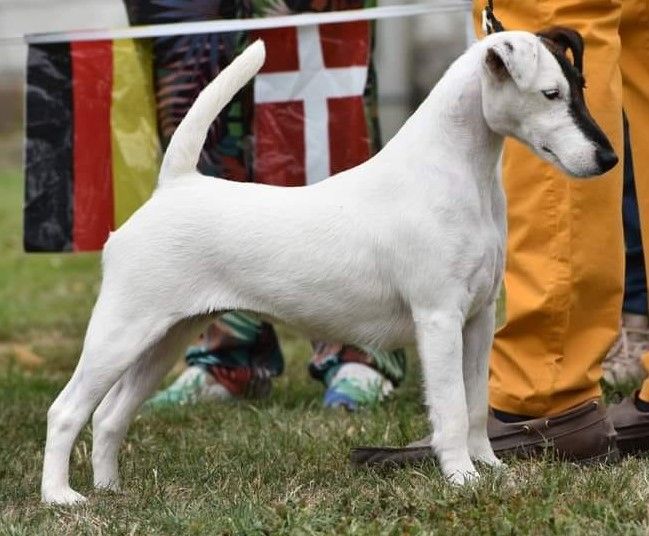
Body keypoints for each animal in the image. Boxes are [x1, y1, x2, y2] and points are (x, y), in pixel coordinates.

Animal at [40, 27, 616, 504]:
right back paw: (62, 498)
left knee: (110, 415)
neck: (458, 173)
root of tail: (173, 187)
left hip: (166, 338)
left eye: (580, 85)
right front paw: (461, 479)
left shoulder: (477, 320)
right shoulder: (439, 319)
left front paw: (490, 469)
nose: (607, 160)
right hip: (122, 331)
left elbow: (475, 405)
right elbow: (451, 408)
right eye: (550, 94)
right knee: (66, 410)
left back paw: (110, 490)